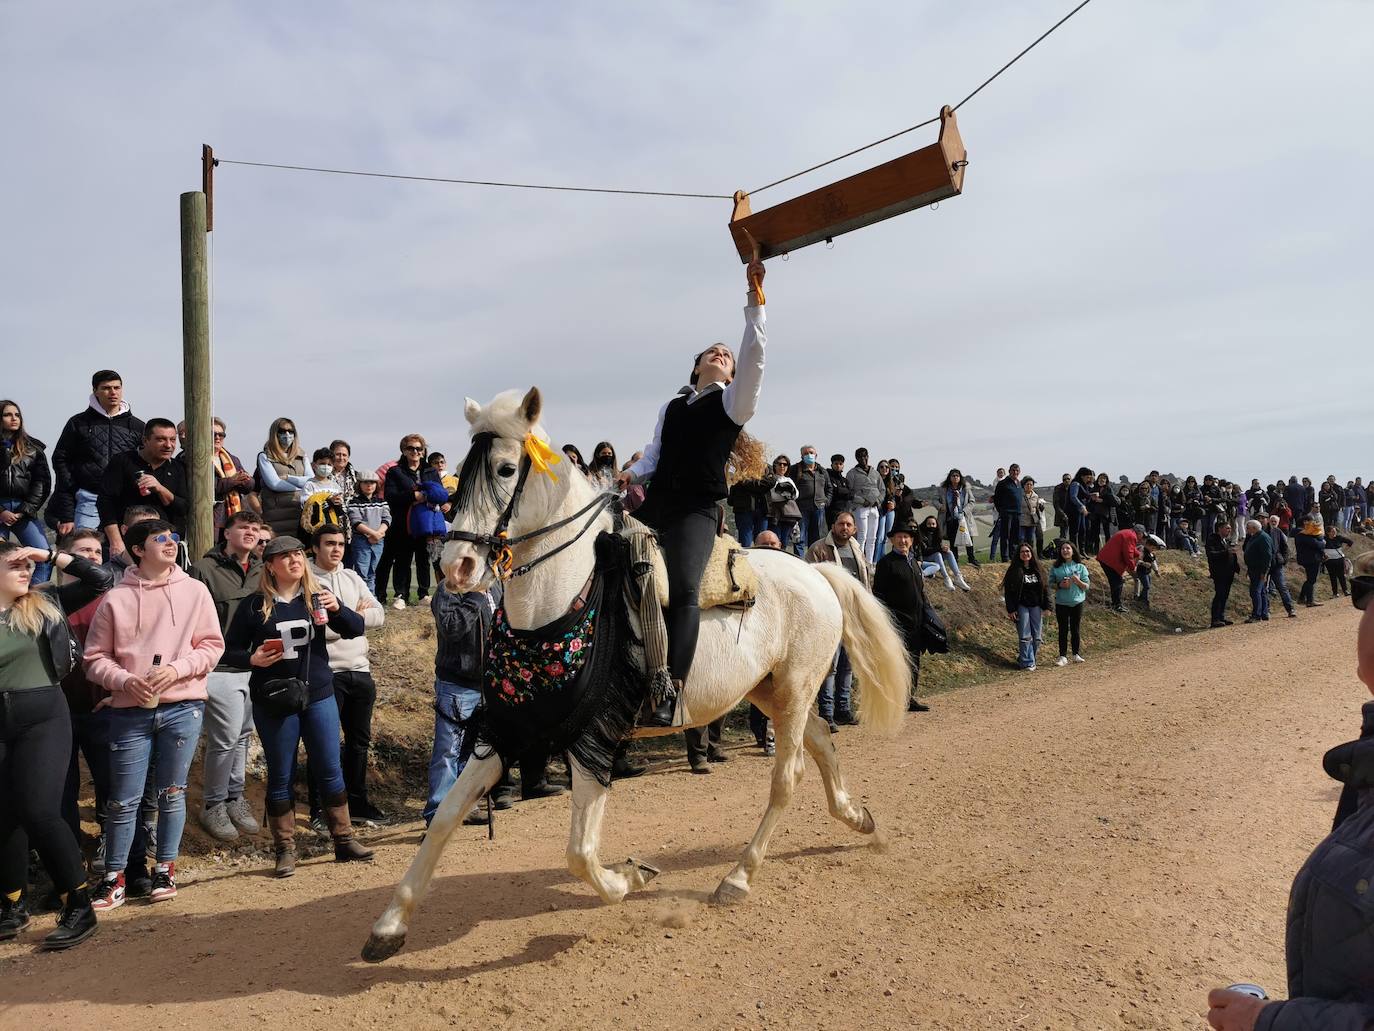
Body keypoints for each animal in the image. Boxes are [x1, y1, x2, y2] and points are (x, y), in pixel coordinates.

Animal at [362, 390, 912, 967]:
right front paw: (390, 925)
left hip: (794, 689)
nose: (457, 567)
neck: (563, 604)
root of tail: (815, 570)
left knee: (789, 777)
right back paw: (857, 818)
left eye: (506, 468)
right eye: (459, 473)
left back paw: (738, 878)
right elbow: (446, 816)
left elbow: (580, 854)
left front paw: (630, 878)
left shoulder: (592, 737)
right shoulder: (509, 730)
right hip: (775, 692)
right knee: (822, 743)